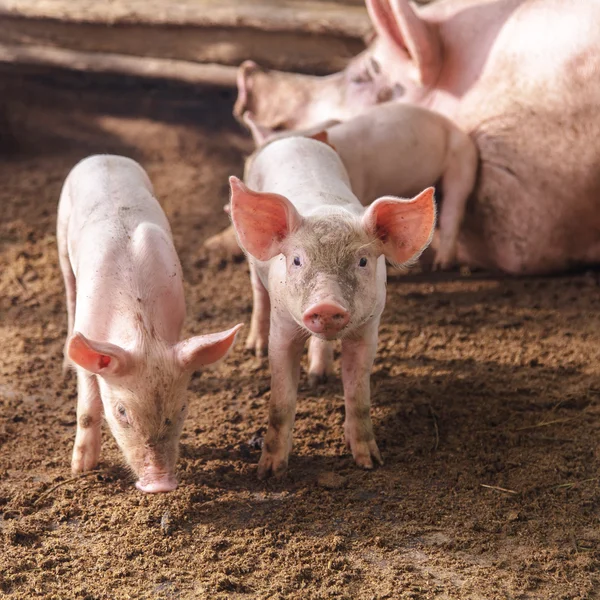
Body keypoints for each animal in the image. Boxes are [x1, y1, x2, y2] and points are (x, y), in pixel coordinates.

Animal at [56, 155, 243, 492]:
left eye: (182, 407)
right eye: (121, 412)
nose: (161, 484)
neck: (144, 331)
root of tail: (104, 156)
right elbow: (87, 409)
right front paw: (81, 468)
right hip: (62, 233)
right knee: (69, 290)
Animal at [230, 136, 436, 478]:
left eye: (363, 261)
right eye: (297, 260)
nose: (326, 305)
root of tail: (292, 137)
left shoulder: (369, 329)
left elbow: (359, 395)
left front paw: (369, 462)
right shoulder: (282, 326)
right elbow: (280, 402)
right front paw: (269, 473)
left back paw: (319, 376)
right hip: (252, 264)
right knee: (257, 293)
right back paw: (254, 349)